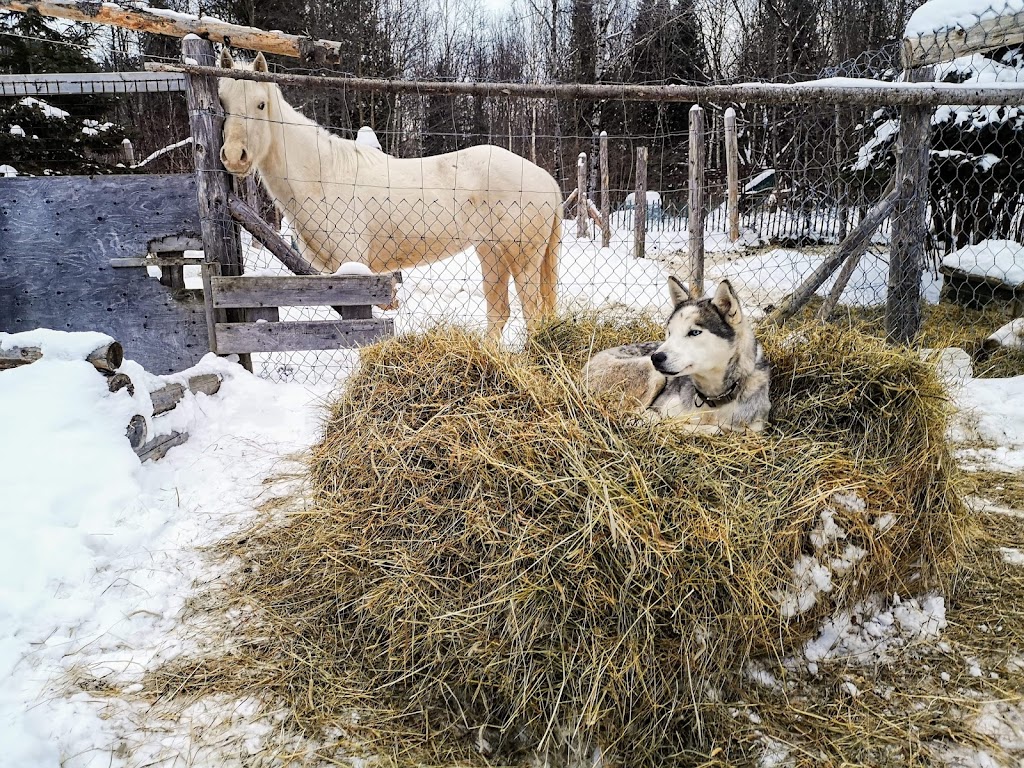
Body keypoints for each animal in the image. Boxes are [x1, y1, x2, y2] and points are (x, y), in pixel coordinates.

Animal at [219, 52, 565, 337]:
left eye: (261, 104)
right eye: (223, 103)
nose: (235, 157)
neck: (323, 175)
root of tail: (547, 180)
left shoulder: (353, 267)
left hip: (523, 259)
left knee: (532, 314)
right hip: (491, 252)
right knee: (499, 313)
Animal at [585, 276, 770, 434]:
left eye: (694, 332)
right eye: (669, 332)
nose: (656, 357)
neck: (713, 399)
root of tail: (585, 368)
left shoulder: (756, 429)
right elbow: (709, 429)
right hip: (653, 374)